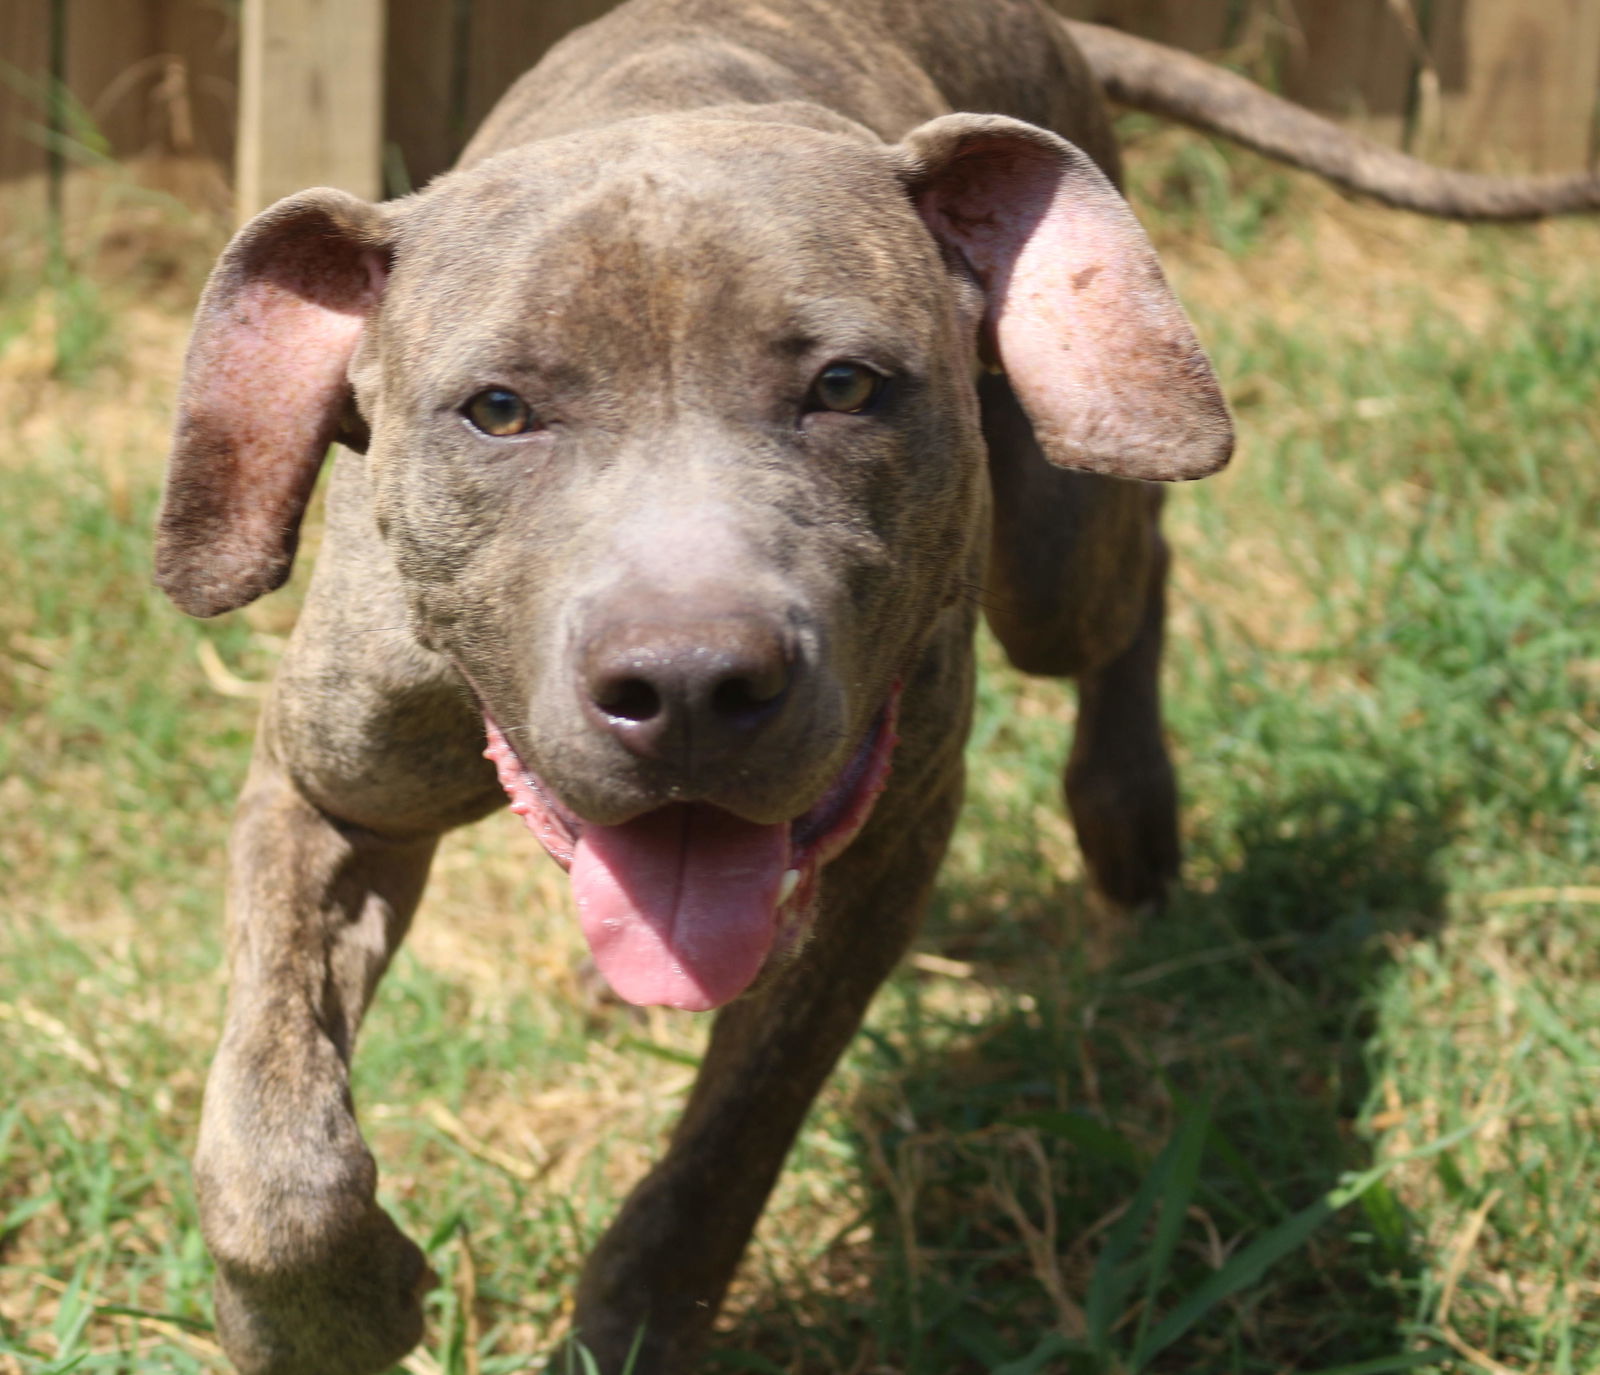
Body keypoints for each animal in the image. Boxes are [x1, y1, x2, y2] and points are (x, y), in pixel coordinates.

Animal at [152, 5, 1600, 1370]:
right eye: (497, 411)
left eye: (846, 386)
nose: (689, 683)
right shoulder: (329, 792)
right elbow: (269, 1138)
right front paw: (318, 1315)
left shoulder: (882, 849)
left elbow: (721, 1155)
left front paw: (629, 1328)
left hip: (1057, 541)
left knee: (1135, 573)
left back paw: (1129, 812)